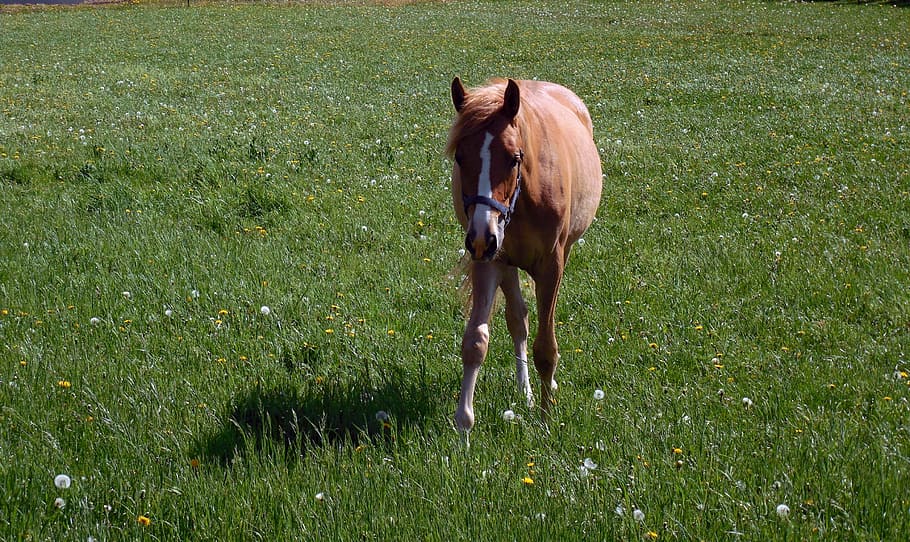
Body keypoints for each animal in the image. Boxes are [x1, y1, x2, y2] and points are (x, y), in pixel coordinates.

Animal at [445, 77, 603, 439]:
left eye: (514, 158)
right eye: (460, 156)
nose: (481, 236)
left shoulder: (551, 265)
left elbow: (546, 348)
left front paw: (545, 421)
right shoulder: (490, 261)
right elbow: (476, 342)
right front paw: (464, 430)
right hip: (503, 263)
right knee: (518, 320)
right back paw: (525, 391)